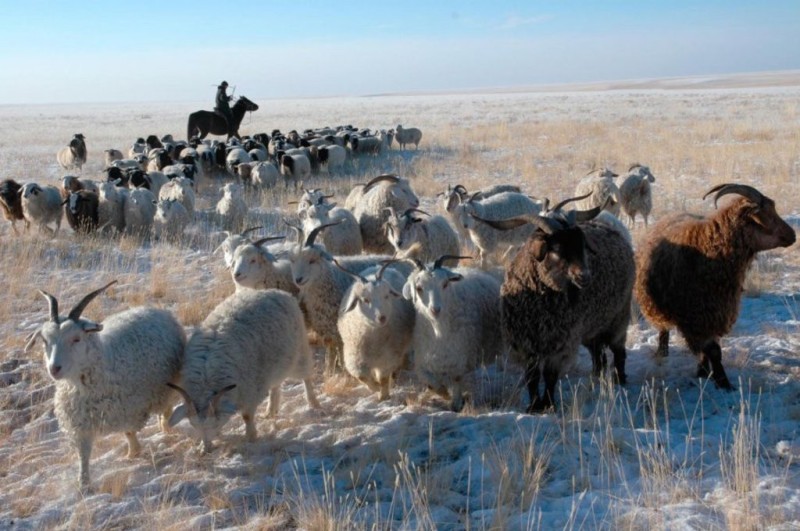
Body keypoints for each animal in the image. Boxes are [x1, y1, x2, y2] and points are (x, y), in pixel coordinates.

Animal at [22, 282, 186, 486]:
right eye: (45, 341)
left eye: (76, 338)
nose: (54, 368)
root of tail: (152, 309)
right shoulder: (81, 423)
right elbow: (83, 454)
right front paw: (84, 484)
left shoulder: (129, 409)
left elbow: (129, 432)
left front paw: (132, 454)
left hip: (164, 388)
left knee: (166, 408)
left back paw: (166, 428)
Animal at [169, 286, 318, 454]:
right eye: (193, 425)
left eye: (215, 424)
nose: (207, 449)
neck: (207, 377)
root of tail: (278, 292)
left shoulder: (250, 390)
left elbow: (247, 416)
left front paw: (250, 437)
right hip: (274, 364)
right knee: (275, 385)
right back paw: (270, 410)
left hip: (299, 351)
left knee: (306, 377)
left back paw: (313, 402)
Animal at [338, 262, 416, 400]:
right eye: (365, 300)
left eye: (386, 296)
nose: (382, 317)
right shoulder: (355, 358)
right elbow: (362, 377)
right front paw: (375, 387)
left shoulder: (388, 356)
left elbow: (383, 378)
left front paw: (383, 396)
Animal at [404, 258, 504, 412]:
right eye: (419, 288)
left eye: (445, 284)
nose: (435, 309)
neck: (438, 331)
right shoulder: (423, 360)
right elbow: (430, 382)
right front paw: (442, 392)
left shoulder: (459, 358)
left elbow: (457, 379)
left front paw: (456, 403)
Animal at [636, 184, 796, 390]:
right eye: (765, 214)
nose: (792, 235)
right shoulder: (696, 317)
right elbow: (712, 351)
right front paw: (724, 383)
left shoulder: (715, 313)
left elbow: (709, 350)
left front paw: (704, 373)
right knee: (663, 329)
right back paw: (662, 353)